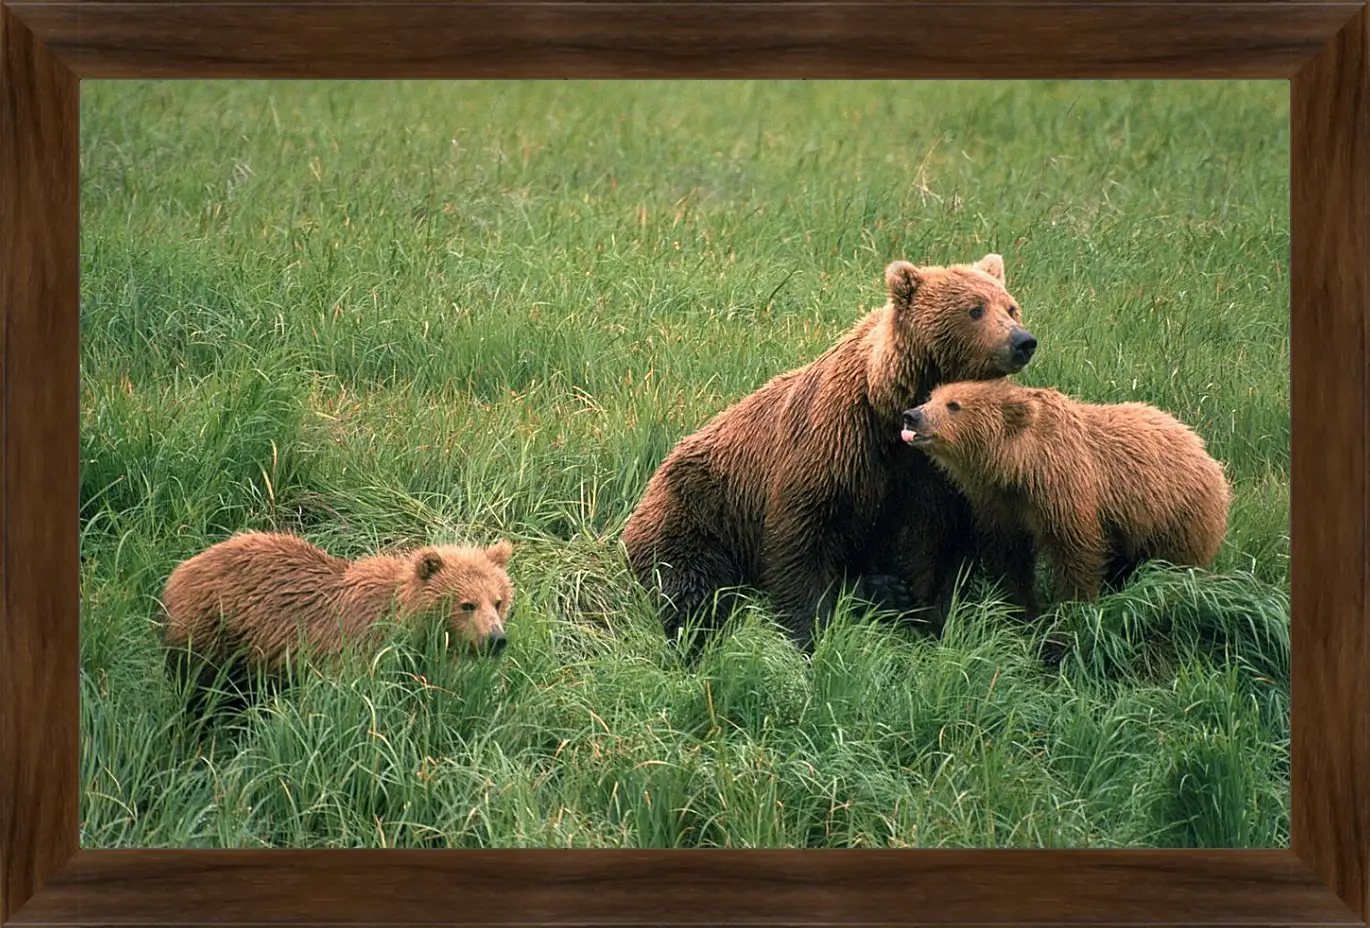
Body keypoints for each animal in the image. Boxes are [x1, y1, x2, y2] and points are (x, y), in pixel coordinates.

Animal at [624, 249, 1035, 646]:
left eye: (1011, 307)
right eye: (975, 309)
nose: (1022, 341)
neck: (893, 409)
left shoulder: (936, 472)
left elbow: (932, 546)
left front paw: (929, 619)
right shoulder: (836, 441)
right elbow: (802, 536)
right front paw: (807, 632)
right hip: (701, 511)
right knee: (687, 578)